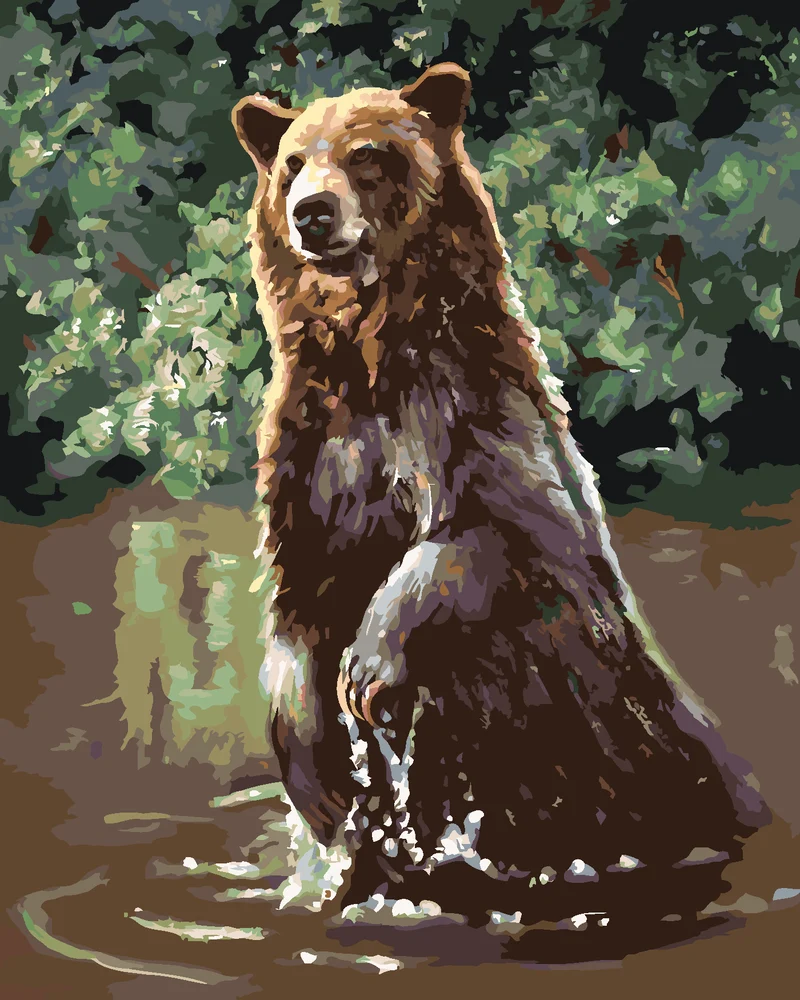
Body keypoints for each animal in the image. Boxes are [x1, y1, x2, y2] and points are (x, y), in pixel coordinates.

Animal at [232, 64, 769, 932]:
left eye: (368, 155)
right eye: (291, 164)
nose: (313, 212)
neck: (371, 357)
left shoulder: (465, 410)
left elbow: (494, 531)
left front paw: (370, 661)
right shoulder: (313, 452)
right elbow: (299, 597)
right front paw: (313, 754)